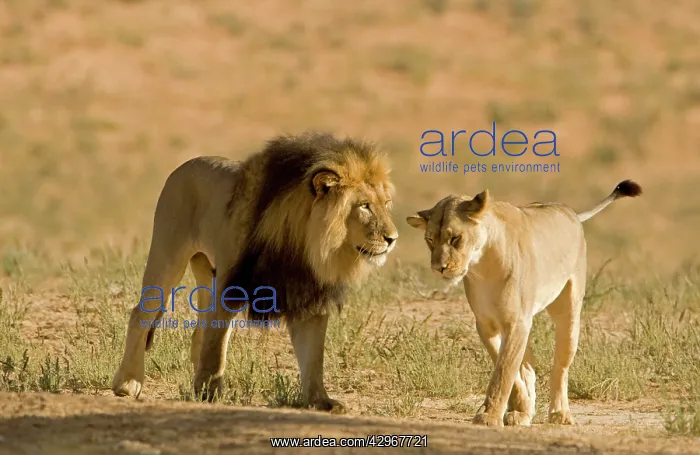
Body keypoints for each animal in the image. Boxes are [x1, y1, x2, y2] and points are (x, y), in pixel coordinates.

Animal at [112, 131, 399, 413]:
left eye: (386, 204)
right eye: (364, 206)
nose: (392, 238)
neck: (305, 243)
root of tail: (185, 165)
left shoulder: (307, 295)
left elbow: (313, 356)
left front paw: (321, 401)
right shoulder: (231, 285)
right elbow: (216, 347)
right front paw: (208, 392)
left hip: (207, 273)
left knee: (199, 332)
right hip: (169, 255)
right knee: (142, 315)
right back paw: (127, 383)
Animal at [406, 180, 642, 427]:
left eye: (455, 238)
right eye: (430, 240)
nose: (438, 268)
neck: (483, 265)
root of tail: (571, 212)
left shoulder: (517, 321)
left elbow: (504, 370)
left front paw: (489, 416)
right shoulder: (487, 323)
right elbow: (508, 367)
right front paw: (519, 408)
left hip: (567, 311)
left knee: (561, 365)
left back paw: (560, 413)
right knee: (528, 364)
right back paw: (525, 410)